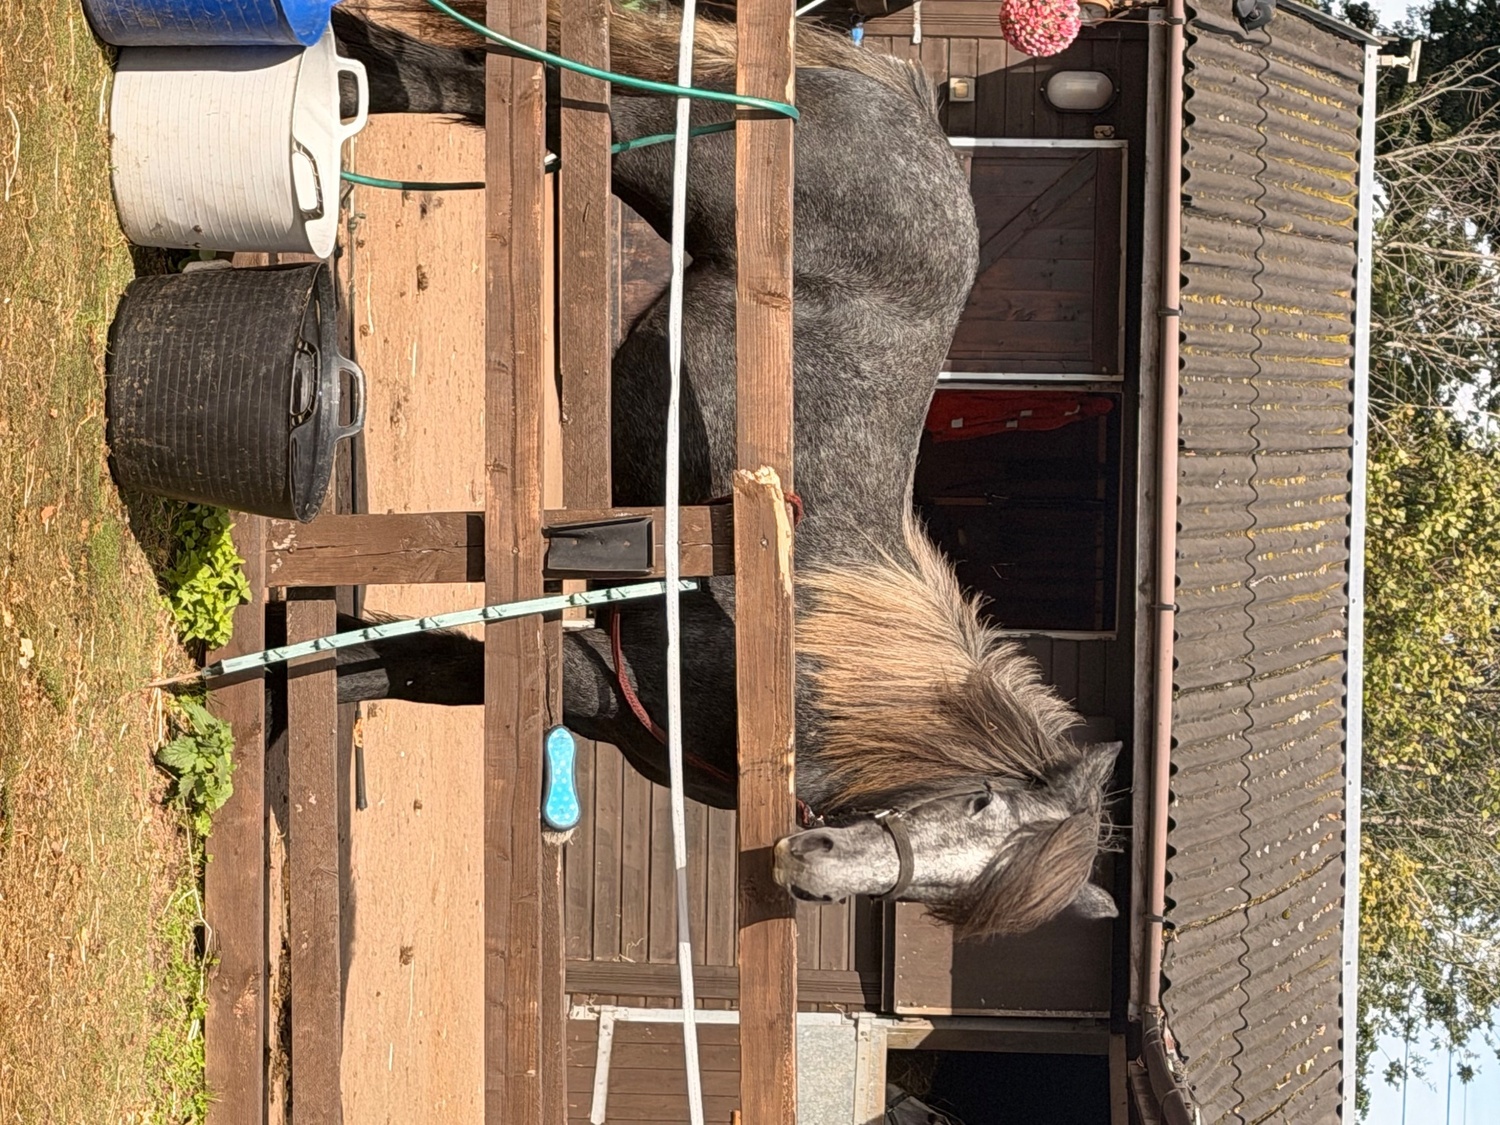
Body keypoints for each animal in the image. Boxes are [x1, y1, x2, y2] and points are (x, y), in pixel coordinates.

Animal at [322, 0, 1121, 937]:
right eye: (981, 799)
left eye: (937, 896)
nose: (814, 865)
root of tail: (913, 112)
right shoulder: (595, 669)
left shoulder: (603, 703)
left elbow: (402, 666)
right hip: (651, 149)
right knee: (511, 85)